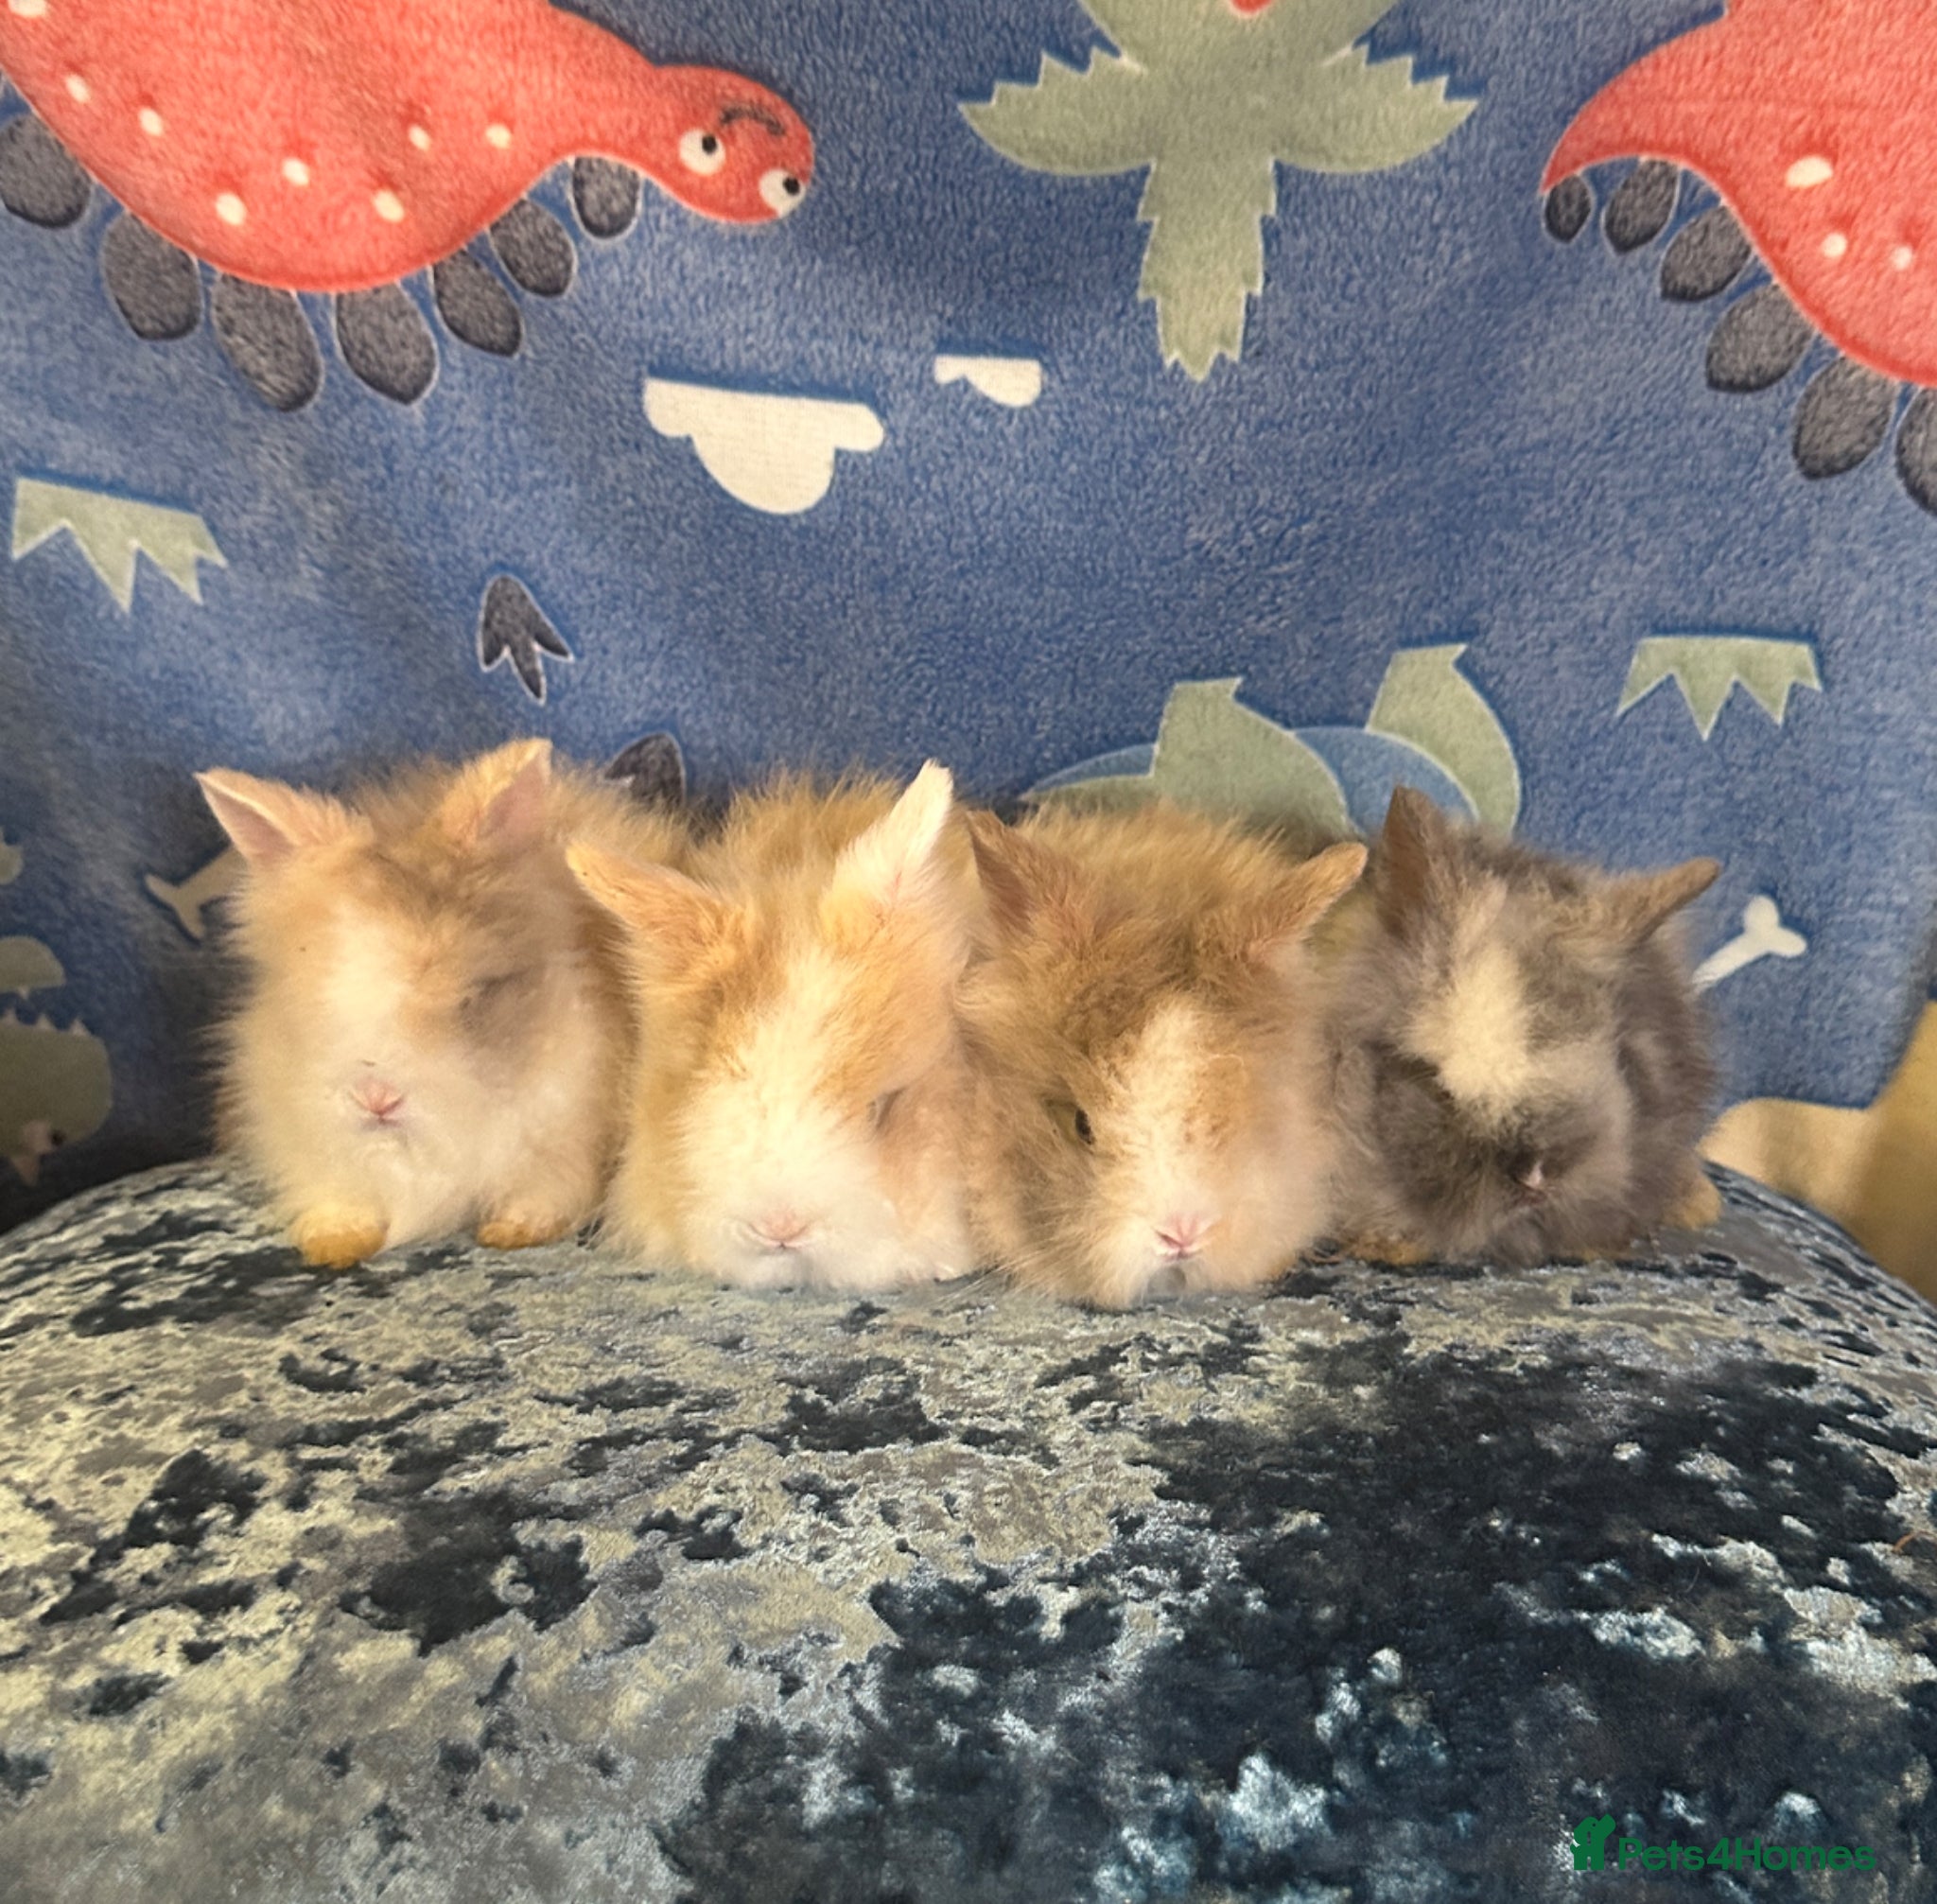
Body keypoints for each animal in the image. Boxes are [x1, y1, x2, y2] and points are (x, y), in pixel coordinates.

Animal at [198, 738, 685, 1268]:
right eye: (310, 1001)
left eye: (473, 997)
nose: (377, 1098)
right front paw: (333, 1245)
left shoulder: (565, 1141)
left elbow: (540, 1194)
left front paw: (513, 1232)